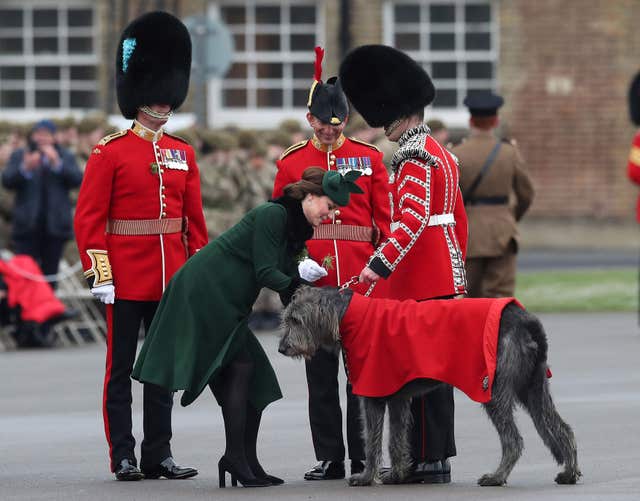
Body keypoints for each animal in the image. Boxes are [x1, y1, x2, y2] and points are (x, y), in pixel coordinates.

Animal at [278, 288, 580, 486]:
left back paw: (497, 477)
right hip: (533, 386)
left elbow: (372, 440)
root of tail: (525, 319)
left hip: (493, 389)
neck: (351, 315)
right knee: (561, 427)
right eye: (286, 318)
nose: (281, 348)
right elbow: (396, 438)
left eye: (296, 320)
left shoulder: (372, 394)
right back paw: (569, 472)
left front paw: (366, 477)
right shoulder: (397, 397)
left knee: (513, 440)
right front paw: (398, 474)